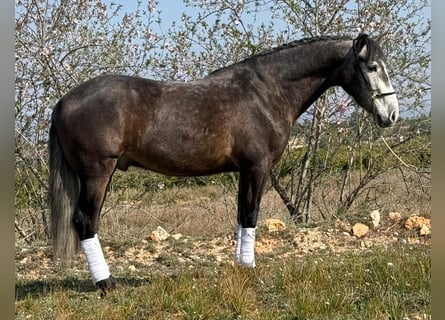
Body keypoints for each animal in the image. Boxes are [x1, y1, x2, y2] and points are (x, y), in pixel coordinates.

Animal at [49, 33, 398, 296]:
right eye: (372, 66)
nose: (392, 115)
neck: (266, 92)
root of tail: (65, 101)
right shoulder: (258, 167)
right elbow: (251, 215)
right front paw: (251, 271)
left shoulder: (246, 169)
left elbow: (242, 215)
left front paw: (240, 268)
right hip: (97, 173)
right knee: (85, 221)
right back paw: (106, 283)